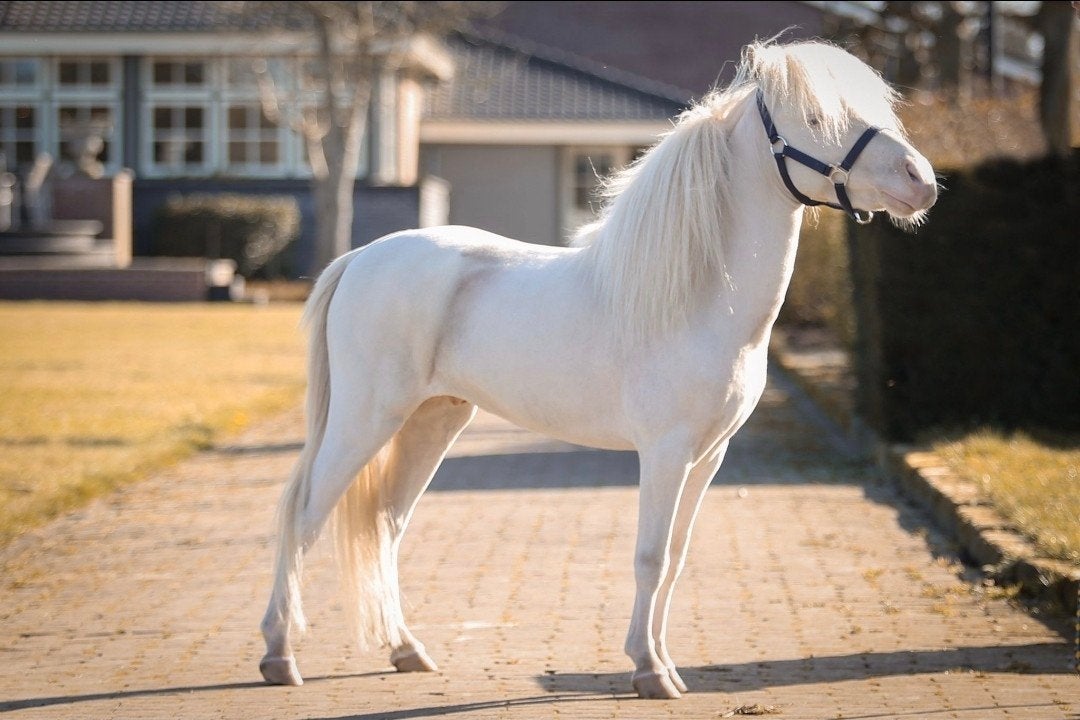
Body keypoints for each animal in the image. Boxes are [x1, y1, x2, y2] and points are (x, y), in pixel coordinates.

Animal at [258, 38, 937, 700]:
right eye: (817, 118)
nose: (922, 181)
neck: (698, 297)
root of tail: (358, 258)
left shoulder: (709, 456)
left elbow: (676, 559)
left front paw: (667, 666)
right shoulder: (665, 451)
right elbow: (650, 557)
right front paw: (648, 671)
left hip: (432, 422)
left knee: (387, 524)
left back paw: (406, 652)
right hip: (365, 420)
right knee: (305, 516)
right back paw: (280, 656)